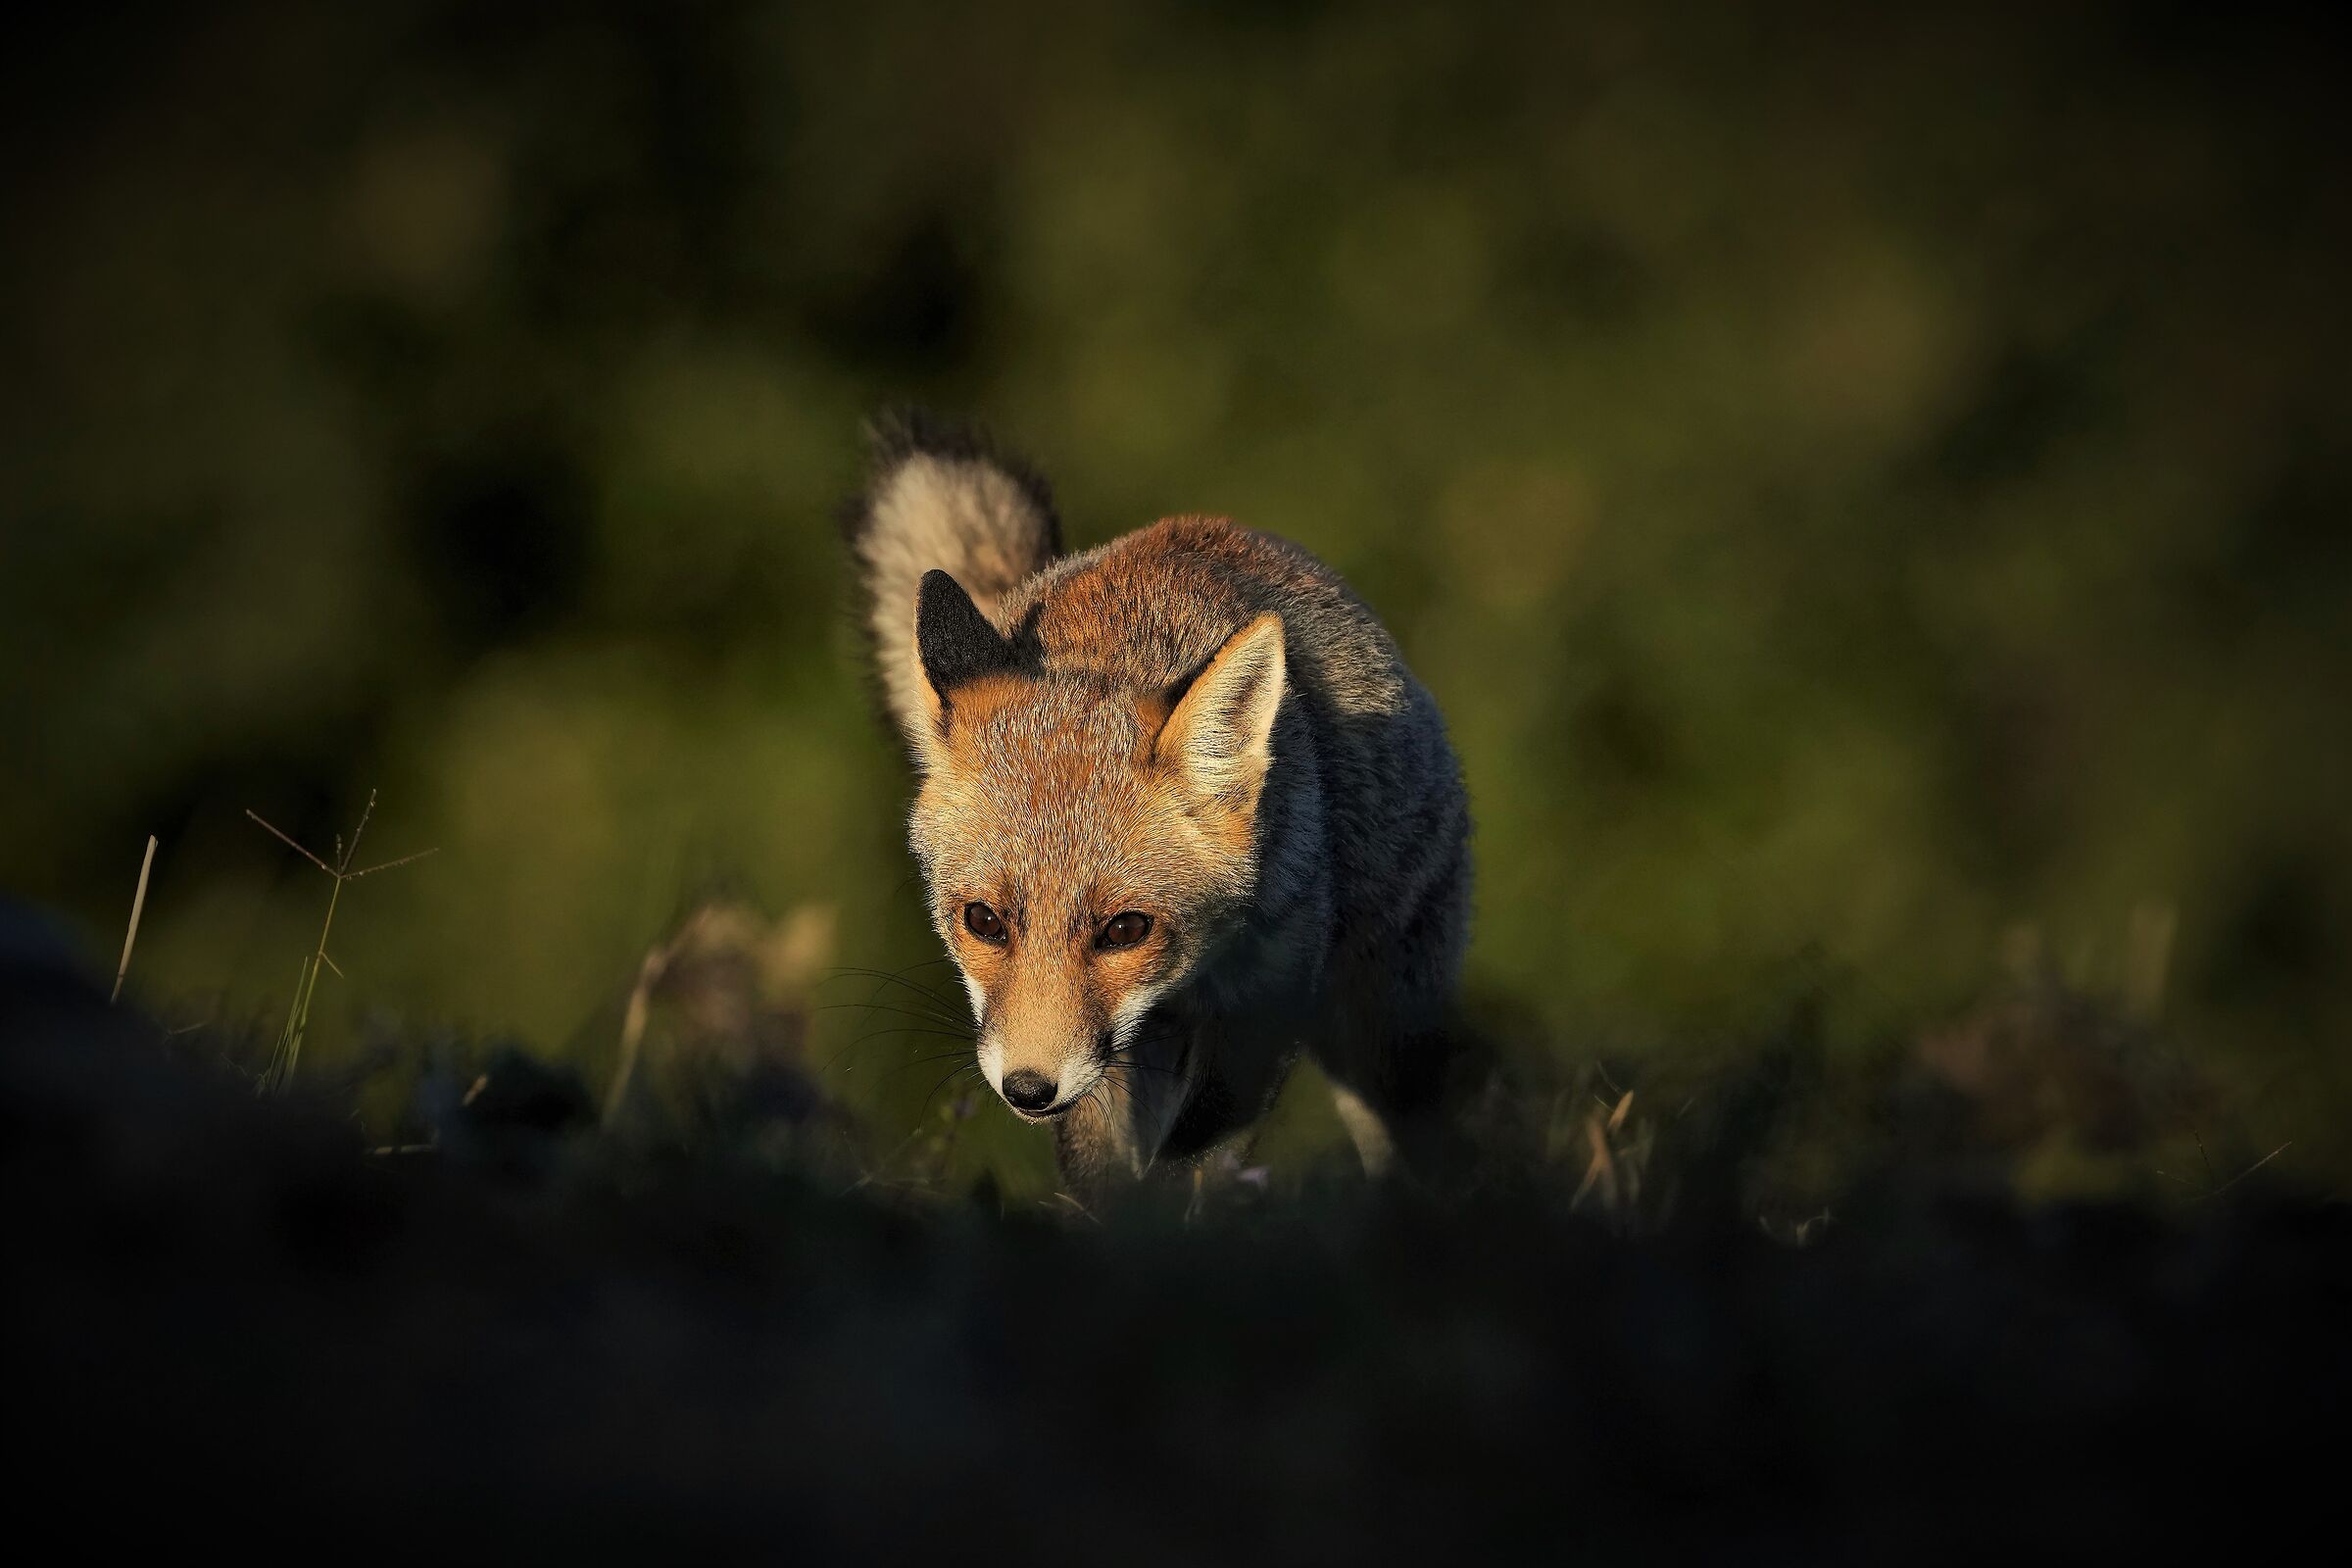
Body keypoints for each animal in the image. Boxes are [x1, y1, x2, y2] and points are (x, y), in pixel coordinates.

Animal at [843, 412, 1471, 1190]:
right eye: (983, 921)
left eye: (1125, 929)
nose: (1029, 1088)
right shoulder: (1106, 1072)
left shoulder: (1266, 1004)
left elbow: (1196, 1159)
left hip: (1381, 1040)